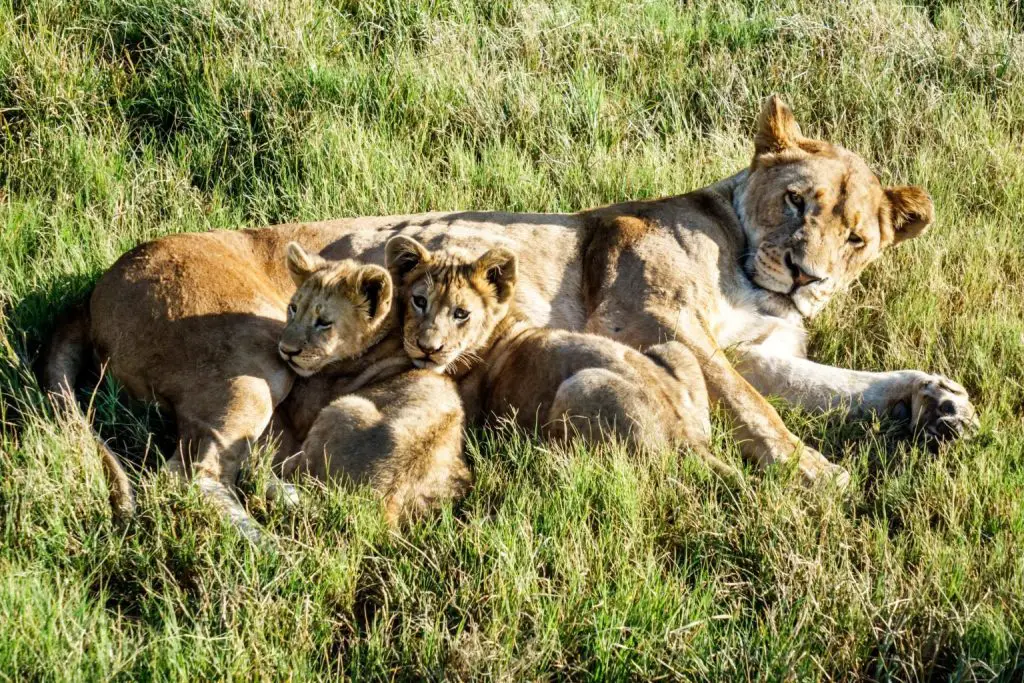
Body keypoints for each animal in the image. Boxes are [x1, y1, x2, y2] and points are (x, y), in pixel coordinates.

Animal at [43, 96, 977, 535]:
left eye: (857, 239)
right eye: (796, 201)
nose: (807, 273)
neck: (744, 257)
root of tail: (93, 288)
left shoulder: (755, 347)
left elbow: (838, 385)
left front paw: (936, 401)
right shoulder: (657, 318)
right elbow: (758, 414)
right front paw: (820, 476)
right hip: (250, 358)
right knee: (195, 476)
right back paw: (273, 534)